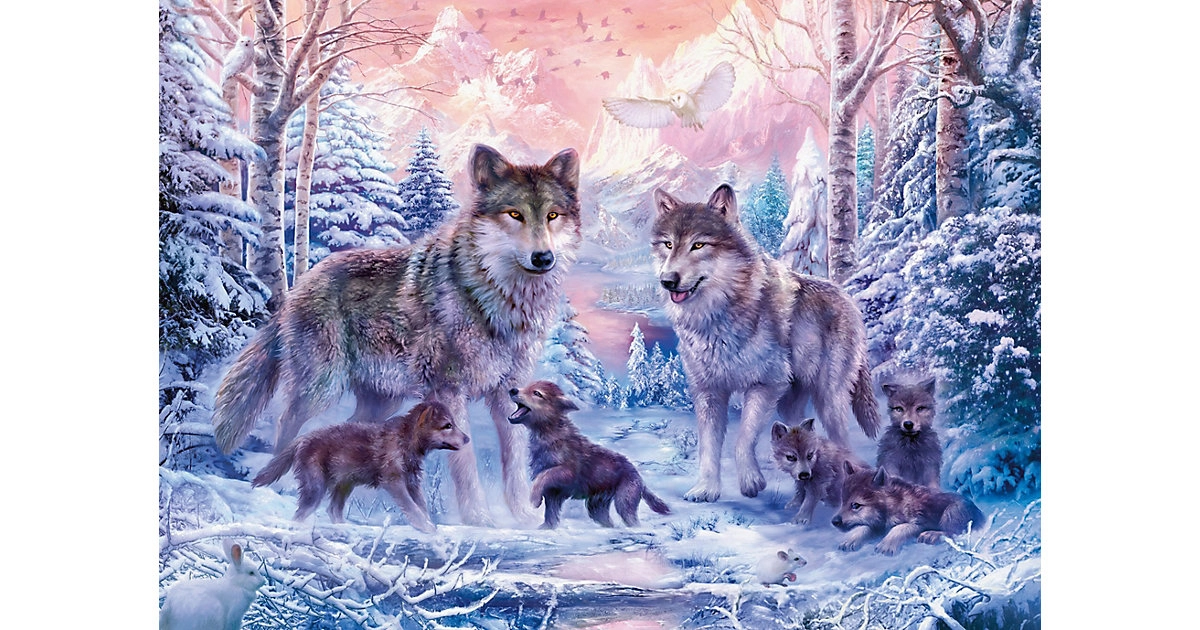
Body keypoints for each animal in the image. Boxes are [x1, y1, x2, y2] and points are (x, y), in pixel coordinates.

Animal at [251, 402, 468, 533]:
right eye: (448, 425)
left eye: (453, 423)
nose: (467, 438)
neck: (405, 441)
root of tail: (303, 438)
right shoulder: (394, 482)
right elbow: (412, 508)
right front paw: (425, 527)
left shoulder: (413, 482)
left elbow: (421, 506)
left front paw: (430, 525)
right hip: (316, 489)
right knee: (300, 514)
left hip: (344, 486)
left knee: (332, 510)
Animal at [507, 380, 671, 529]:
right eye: (526, 386)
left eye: (537, 393)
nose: (513, 390)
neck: (550, 435)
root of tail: (640, 478)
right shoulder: (553, 494)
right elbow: (550, 515)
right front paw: (546, 528)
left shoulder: (567, 473)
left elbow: (544, 476)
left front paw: (534, 499)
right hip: (596, 508)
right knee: (608, 522)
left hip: (623, 504)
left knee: (633, 522)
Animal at [651, 184, 880, 503]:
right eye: (668, 244)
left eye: (698, 245)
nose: (668, 280)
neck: (716, 317)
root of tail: (849, 300)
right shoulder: (708, 392)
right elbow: (708, 448)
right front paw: (706, 489)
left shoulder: (764, 385)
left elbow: (742, 440)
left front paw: (751, 482)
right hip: (790, 405)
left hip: (828, 399)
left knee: (841, 441)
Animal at [831, 463, 985, 555]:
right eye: (842, 502)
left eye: (855, 505)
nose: (834, 521)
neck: (893, 505)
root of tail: (982, 515)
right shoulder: (877, 526)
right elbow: (863, 528)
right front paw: (851, 540)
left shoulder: (921, 521)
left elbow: (899, 528)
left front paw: (886, 545)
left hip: (952, 510)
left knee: (955, 532)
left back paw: (932, 535)